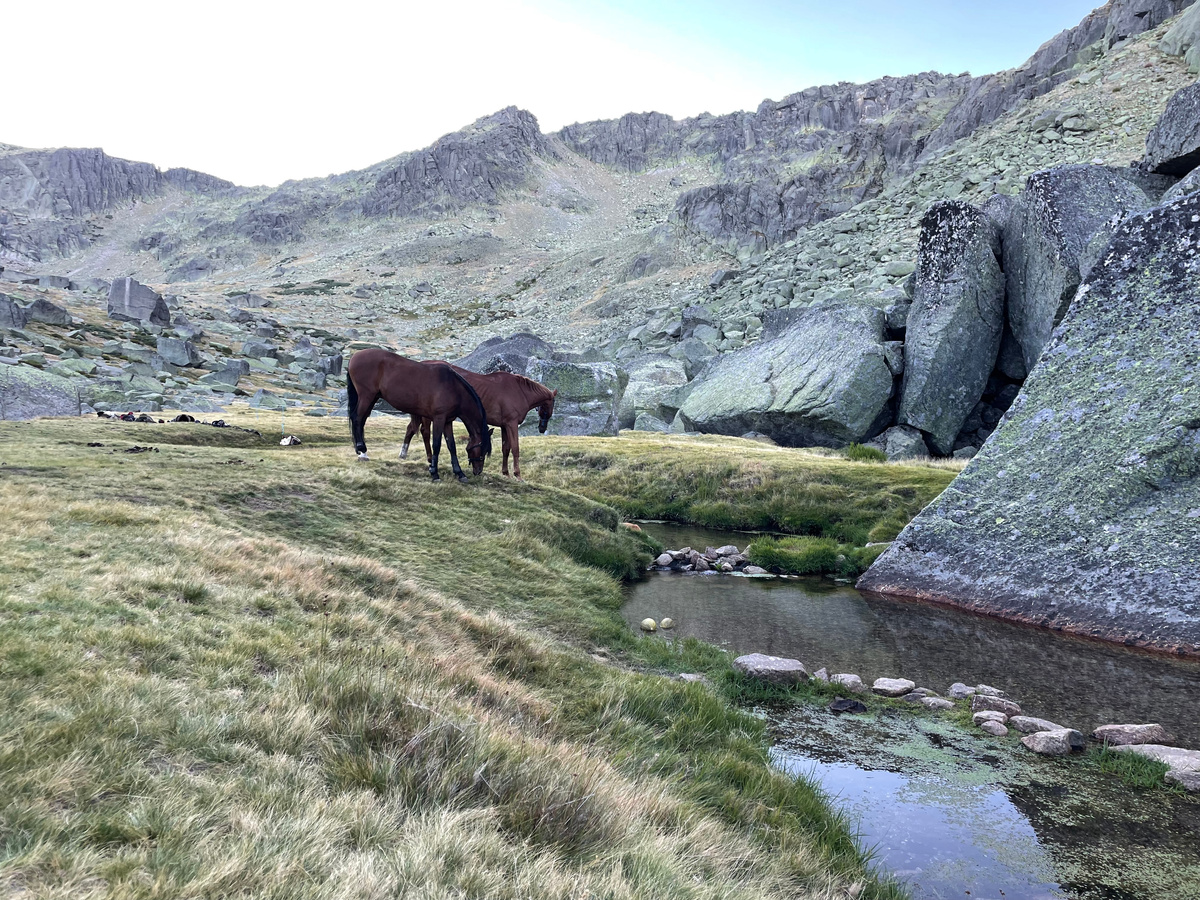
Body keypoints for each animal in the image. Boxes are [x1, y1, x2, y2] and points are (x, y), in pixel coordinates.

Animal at [348, 348, 492, 482]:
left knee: (362, 421)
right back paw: (361, 448)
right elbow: (436, 445)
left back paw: (362, 453)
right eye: (482, 449)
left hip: (372, 398)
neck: (453, 387)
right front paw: (434, 473)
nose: (478, 471)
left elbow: (452, 446)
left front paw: (459, 473)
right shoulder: (439, 419)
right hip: (366, 396)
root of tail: (355, 355)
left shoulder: (448, 421)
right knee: (357, 418)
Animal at [398, 364, 556, 482]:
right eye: (550, 406)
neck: (519, 391)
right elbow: (515, 448)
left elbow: (506, 449)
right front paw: (517, 475)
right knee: (424, 432)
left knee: (412, 429)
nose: (542, 428)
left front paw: (505, 473)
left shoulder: (505, 426)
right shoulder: (512, 424)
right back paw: (428, 459)